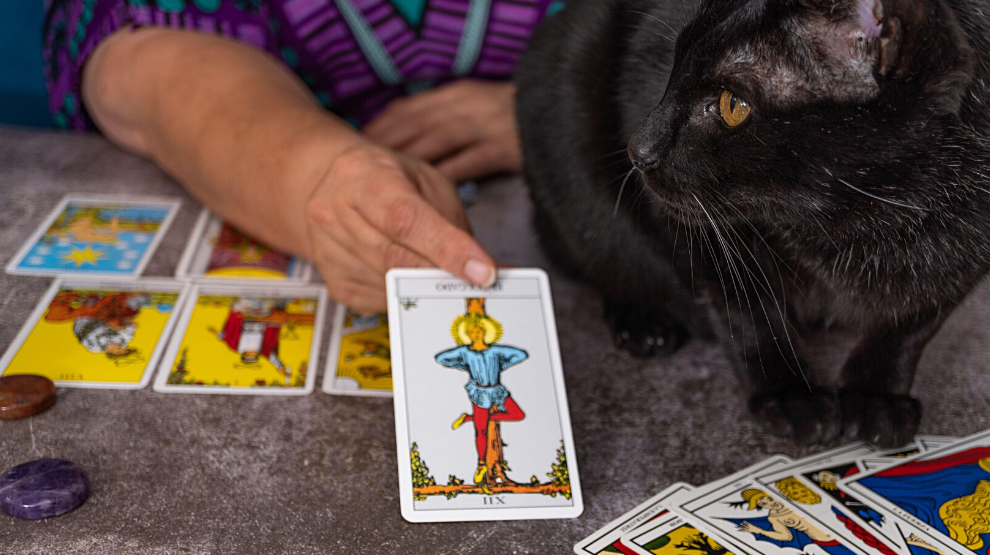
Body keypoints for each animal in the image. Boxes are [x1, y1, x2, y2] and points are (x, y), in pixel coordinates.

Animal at [520, 0, 990, 448]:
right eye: (672, 66)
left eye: (733, 106)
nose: (638, 148)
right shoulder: (696, 225)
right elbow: (747, 309)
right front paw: (790, 393)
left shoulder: (967, 255)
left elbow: (911, 324)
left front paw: (877, 396)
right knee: (601, 253)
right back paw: (643, 322)